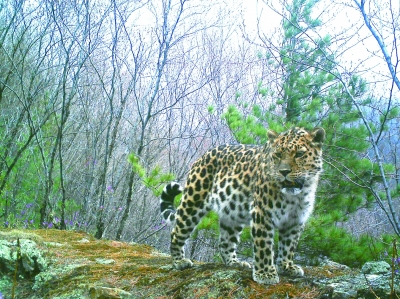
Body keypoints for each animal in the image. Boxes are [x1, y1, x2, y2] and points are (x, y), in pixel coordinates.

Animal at [159, 127, 324, 286]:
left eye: (300, 154)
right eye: (277, 154)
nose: (283, 172)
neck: (295, 196)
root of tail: (202, 156)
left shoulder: (295, 220)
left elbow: (289, 245)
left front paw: (287, 266)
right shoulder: (262, 212)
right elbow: (264, 246)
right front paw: (266, 274)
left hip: (232, 212)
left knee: (225, 242)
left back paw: (234, 262)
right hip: (193, 201)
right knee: (177, 231)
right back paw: (179, 261)